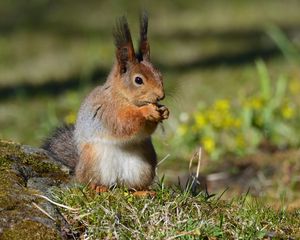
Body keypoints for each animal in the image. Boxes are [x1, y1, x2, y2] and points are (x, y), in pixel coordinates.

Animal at [42, 13, 169, 193]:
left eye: (159, 74)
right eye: (138, 80)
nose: (161, 95)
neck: (123, 97)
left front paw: (164, 111)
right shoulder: (107, 110)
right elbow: (123, 123)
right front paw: (147, 112)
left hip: (144, 165)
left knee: (131, 187)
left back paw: (143, 192)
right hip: (93, 161)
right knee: (90, 182)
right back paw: (97, 188)